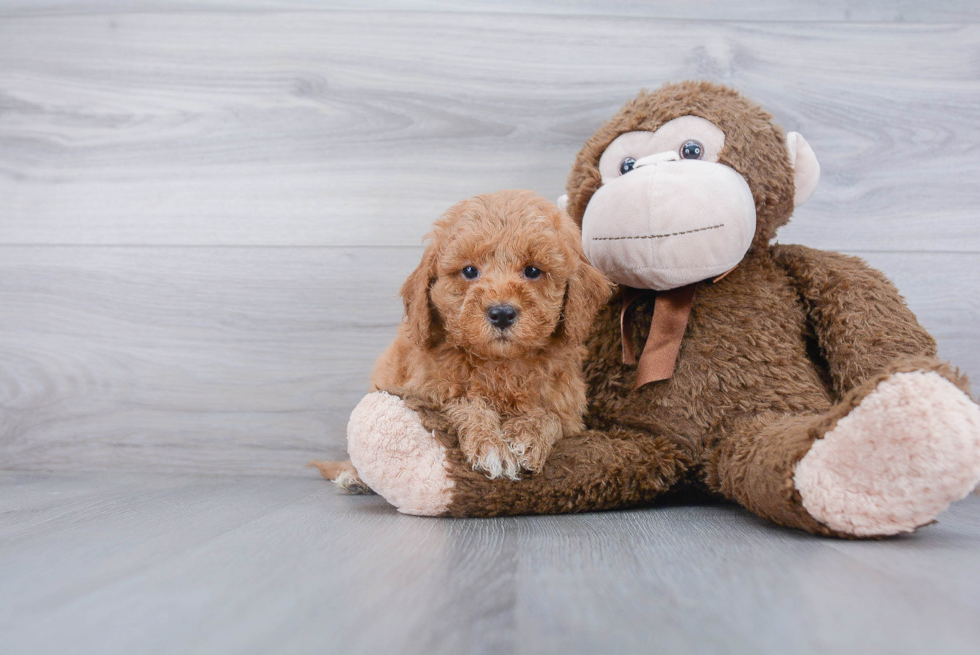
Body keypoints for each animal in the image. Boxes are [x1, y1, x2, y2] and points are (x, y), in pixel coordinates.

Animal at [312, 190, 612, 486]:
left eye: (533, 271)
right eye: (469, 271)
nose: (501, 313)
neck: (500, 365)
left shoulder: (568, 411)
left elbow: (551, 416)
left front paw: (526, 437)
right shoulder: (428, 392)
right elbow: (465, 402)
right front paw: (490, 444)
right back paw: (352, 476)